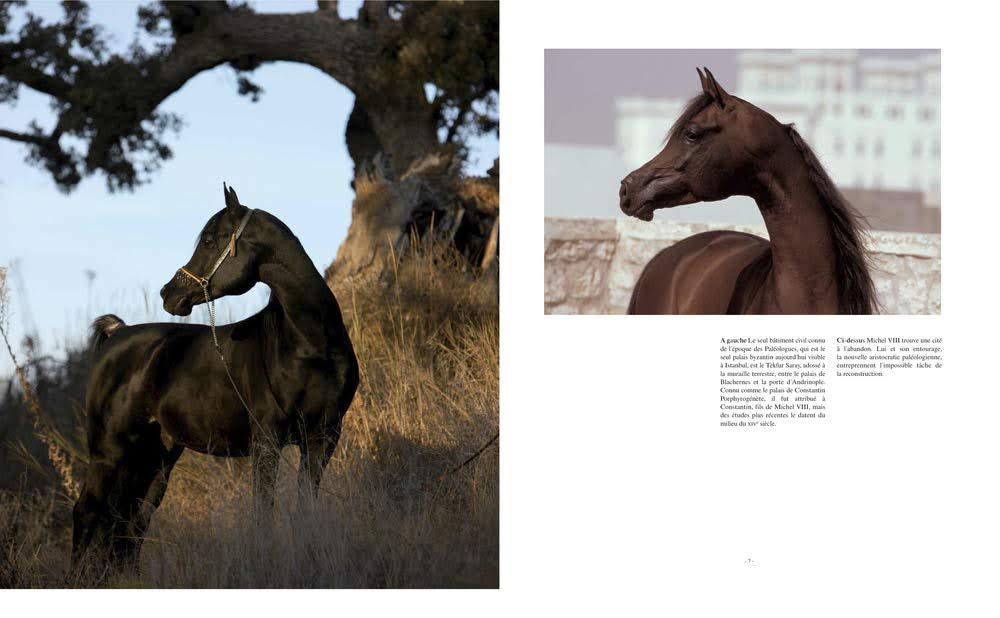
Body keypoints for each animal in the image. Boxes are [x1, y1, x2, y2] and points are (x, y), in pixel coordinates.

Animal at [71, 184, 359, 569]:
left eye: (209, 240)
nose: (169, 293)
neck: (311, 345)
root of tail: (118, 333)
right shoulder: (266, 440)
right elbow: (262, 512)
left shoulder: (323, 437)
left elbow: (305, 509)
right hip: (108, 453)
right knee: (87, 513)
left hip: (155, 458)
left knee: (131, 524)